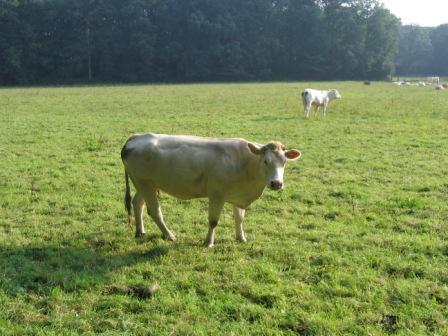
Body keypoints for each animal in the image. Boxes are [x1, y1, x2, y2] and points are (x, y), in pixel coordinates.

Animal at [121, 133, 300, 247]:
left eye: (284, 162)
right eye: (265, 161)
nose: (276, 183)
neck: (246, 163)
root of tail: (137, 137)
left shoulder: (237, 195)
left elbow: (239, 218)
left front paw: (241, 238)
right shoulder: (216, 195)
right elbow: (213, 221)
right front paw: (208, 243)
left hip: (145, 184)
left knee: (138, 203)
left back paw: (140, 231)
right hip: (144, 183)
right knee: (155, 211)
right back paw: (169, 235)